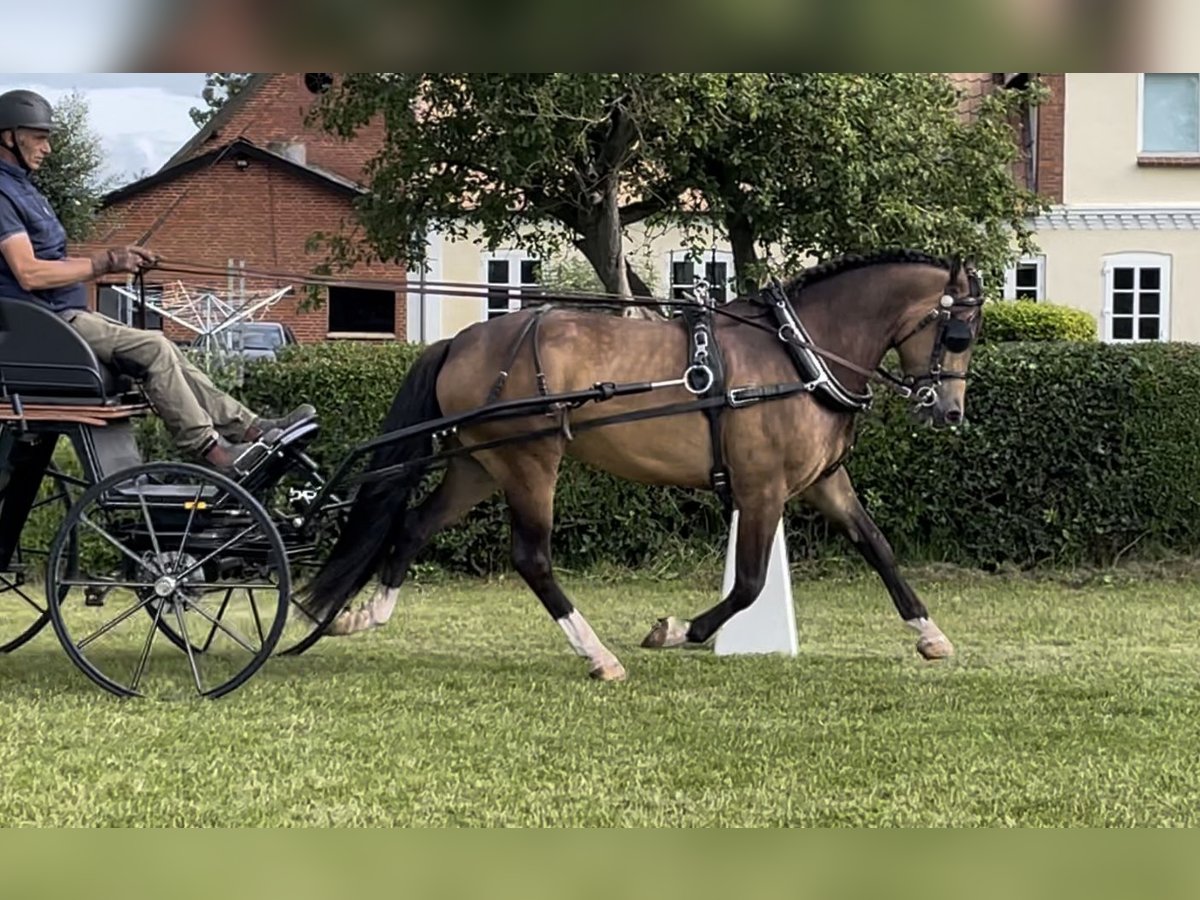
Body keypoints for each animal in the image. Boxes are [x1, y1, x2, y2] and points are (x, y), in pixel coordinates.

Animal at [302, 250, 984, 681]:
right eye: (959, 333)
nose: (949, 411)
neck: (798, 353)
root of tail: (461, 342)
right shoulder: (762, 489)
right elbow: (749, 583)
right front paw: (677, 630)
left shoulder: (823, 483)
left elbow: (877, 547)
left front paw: (929, 634)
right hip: (529, 462)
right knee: (532, 558)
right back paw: (598, 656)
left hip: (480, 464)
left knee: (415, 525)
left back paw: (368, 615)